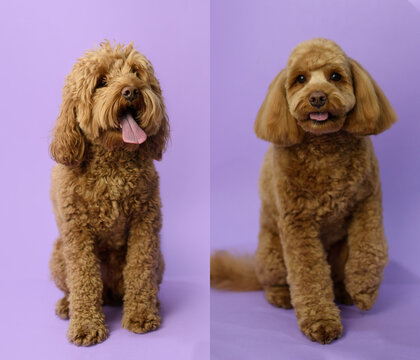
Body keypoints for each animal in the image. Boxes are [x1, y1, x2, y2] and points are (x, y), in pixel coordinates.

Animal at [48, 40, 169, 346]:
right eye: (101, 82)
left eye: (136, 73)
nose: (131, 91)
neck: (113, 163)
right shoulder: (77, 233)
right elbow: (83, 278)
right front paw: (86, 326)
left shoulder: (145, 224)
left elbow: (140, 270)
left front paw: (141, 316)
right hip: (58, 256)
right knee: (73, 287)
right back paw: (67, 306)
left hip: (159, 259)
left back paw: (153, 303)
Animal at [212, 38, 396, 344]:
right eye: (300, 79)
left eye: (335, 76)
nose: (318, 97)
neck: (325, 150)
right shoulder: (298, 222)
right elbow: (309, 274)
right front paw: (321, 321)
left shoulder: (368, 201)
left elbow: (371, 246)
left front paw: (365, 289)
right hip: (272, 253)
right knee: (274, 281)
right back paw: (281, 296)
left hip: (338, 250)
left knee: (337, 274)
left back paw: (344, 291)